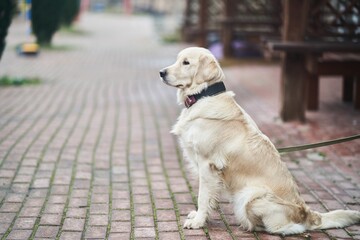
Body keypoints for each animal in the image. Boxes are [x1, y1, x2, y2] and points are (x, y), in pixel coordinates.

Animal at [160, 46, 360, 234]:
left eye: (186, 62)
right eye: (178, 59)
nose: (161, 72)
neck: (204, 94)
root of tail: (307, 212)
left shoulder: (207, 164)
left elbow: (203, 196)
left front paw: (198, 221)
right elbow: (209, 197)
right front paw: (201, 216)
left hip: (250, 196)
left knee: (290, 228)